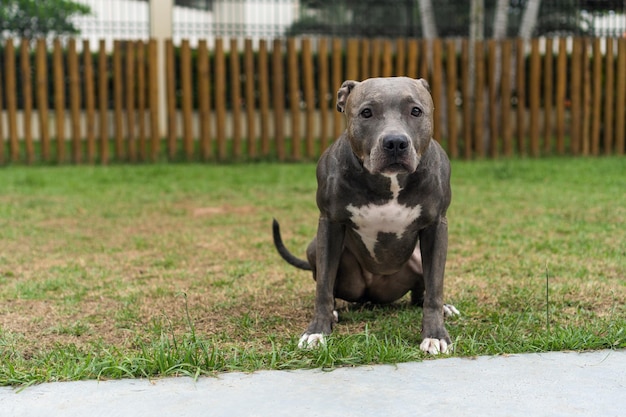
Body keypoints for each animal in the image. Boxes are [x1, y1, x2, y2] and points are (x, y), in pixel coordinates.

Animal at [270, 76, 456, 352]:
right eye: (366, 113)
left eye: (416, 111)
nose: (395, 142)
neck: (388, 182)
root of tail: (373, 297)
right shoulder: (330, 223)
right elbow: (323, 287)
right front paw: (317, 331)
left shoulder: (435, 226)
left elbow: (435, 288)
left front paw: (435, 334)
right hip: (317, 250)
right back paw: (335, 312)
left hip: (418, 258)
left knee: (420, 295)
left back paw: (444, 308)